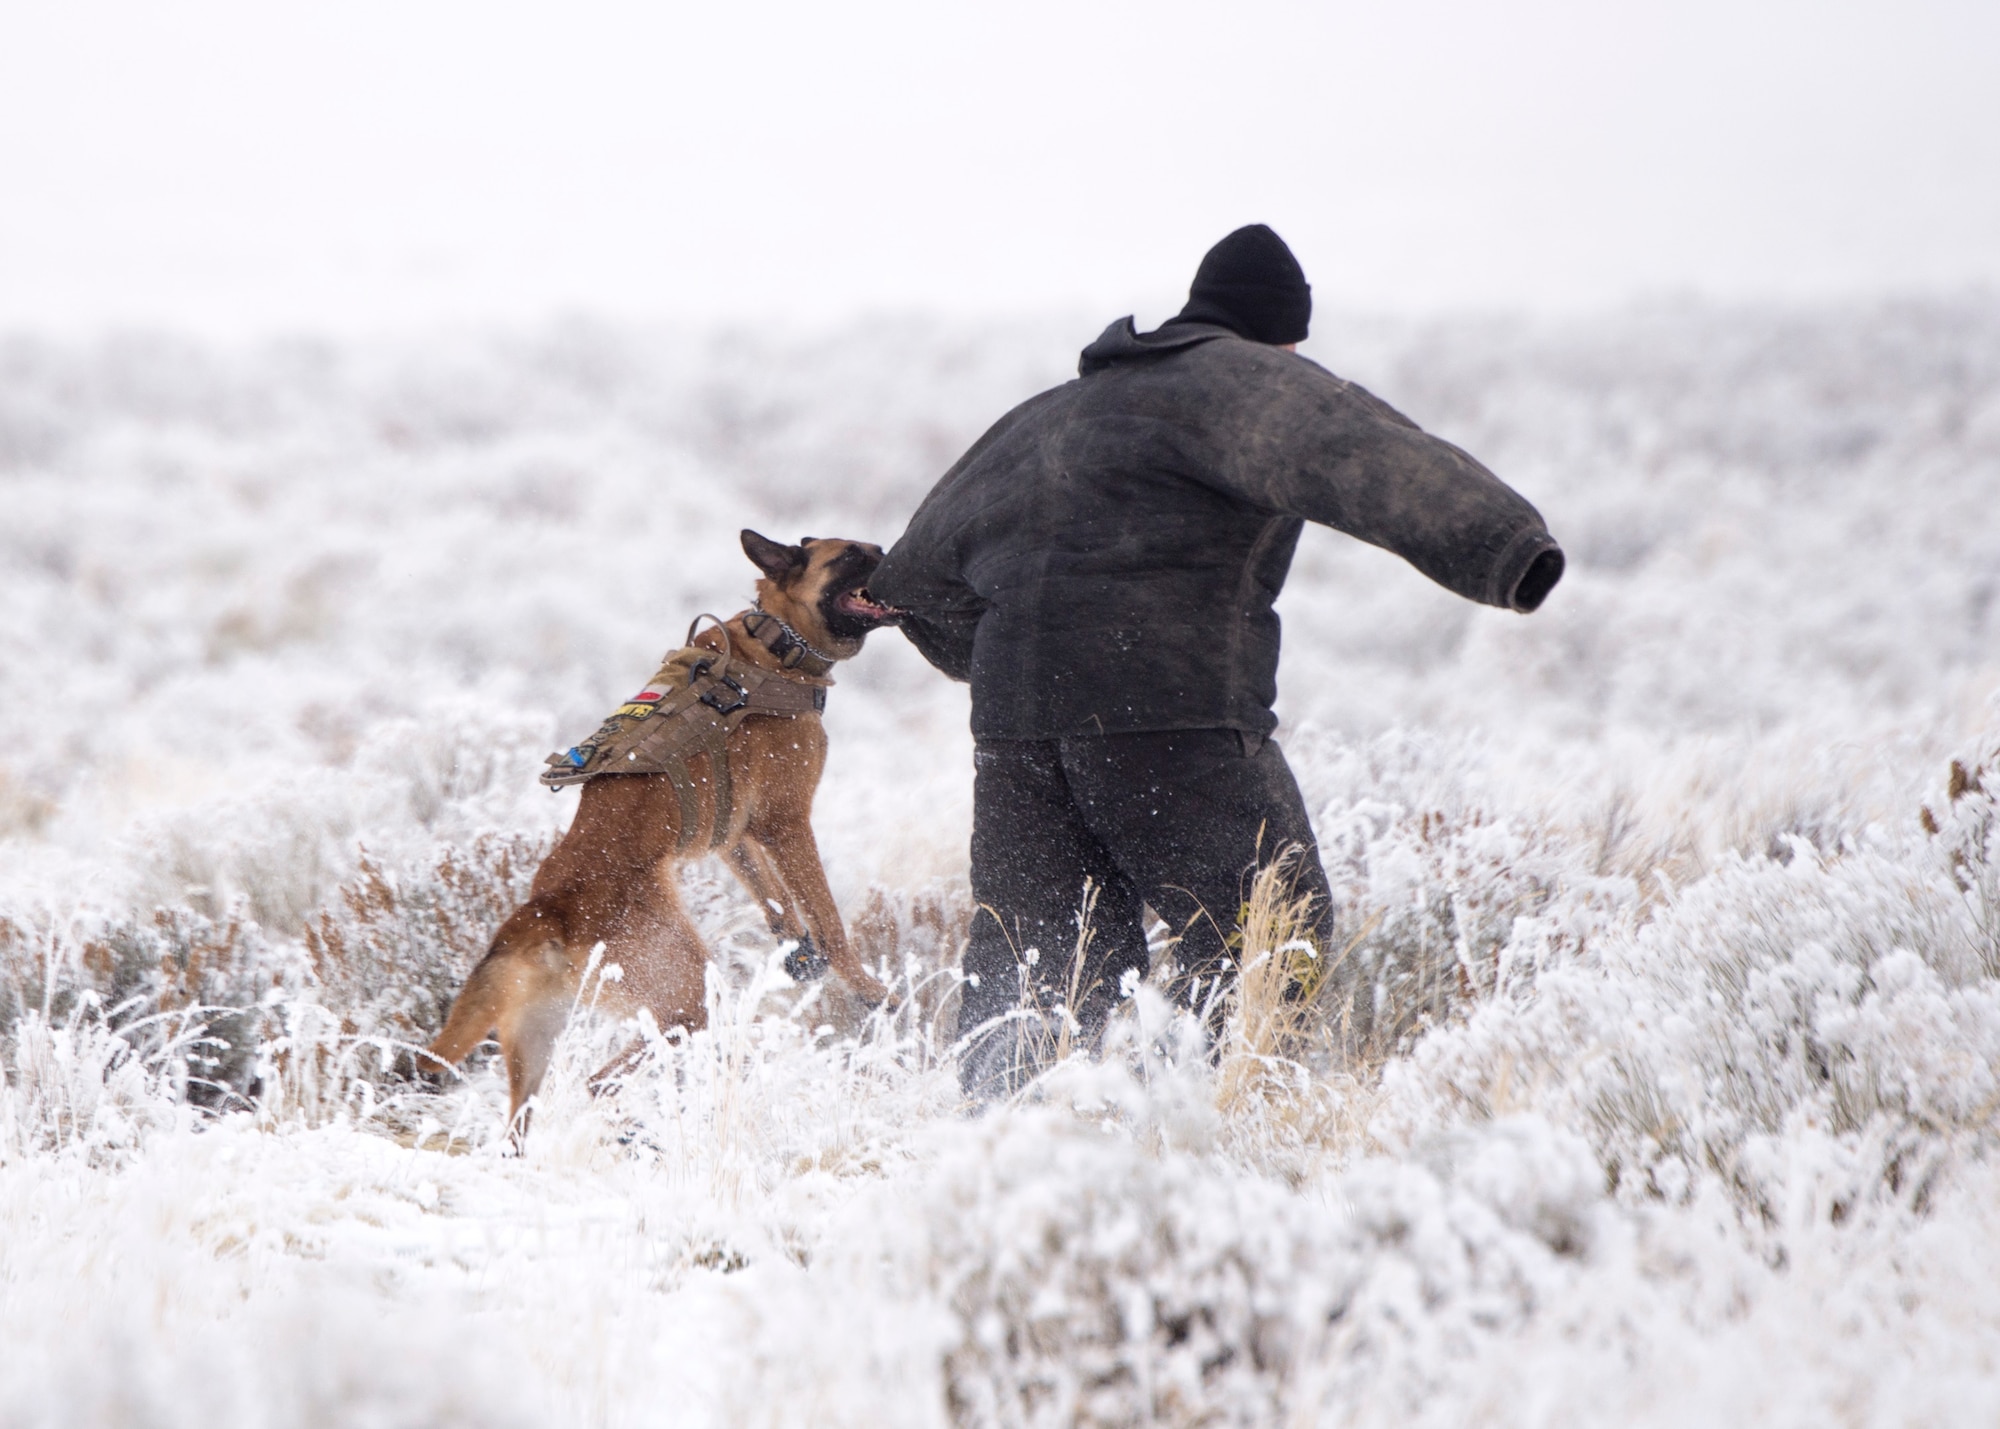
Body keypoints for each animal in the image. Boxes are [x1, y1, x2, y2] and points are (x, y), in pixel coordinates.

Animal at [428, 528, 900, 1120]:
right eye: (855, 554)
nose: (896, 556)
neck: (774, 644)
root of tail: (551, 905)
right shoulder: (786, 823)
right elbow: (830, 920)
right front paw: (868, 989)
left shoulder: (735, 834)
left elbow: (773, 897)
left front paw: (798, 951)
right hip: (690, 991)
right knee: (604, 1077)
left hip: (539, 1041)